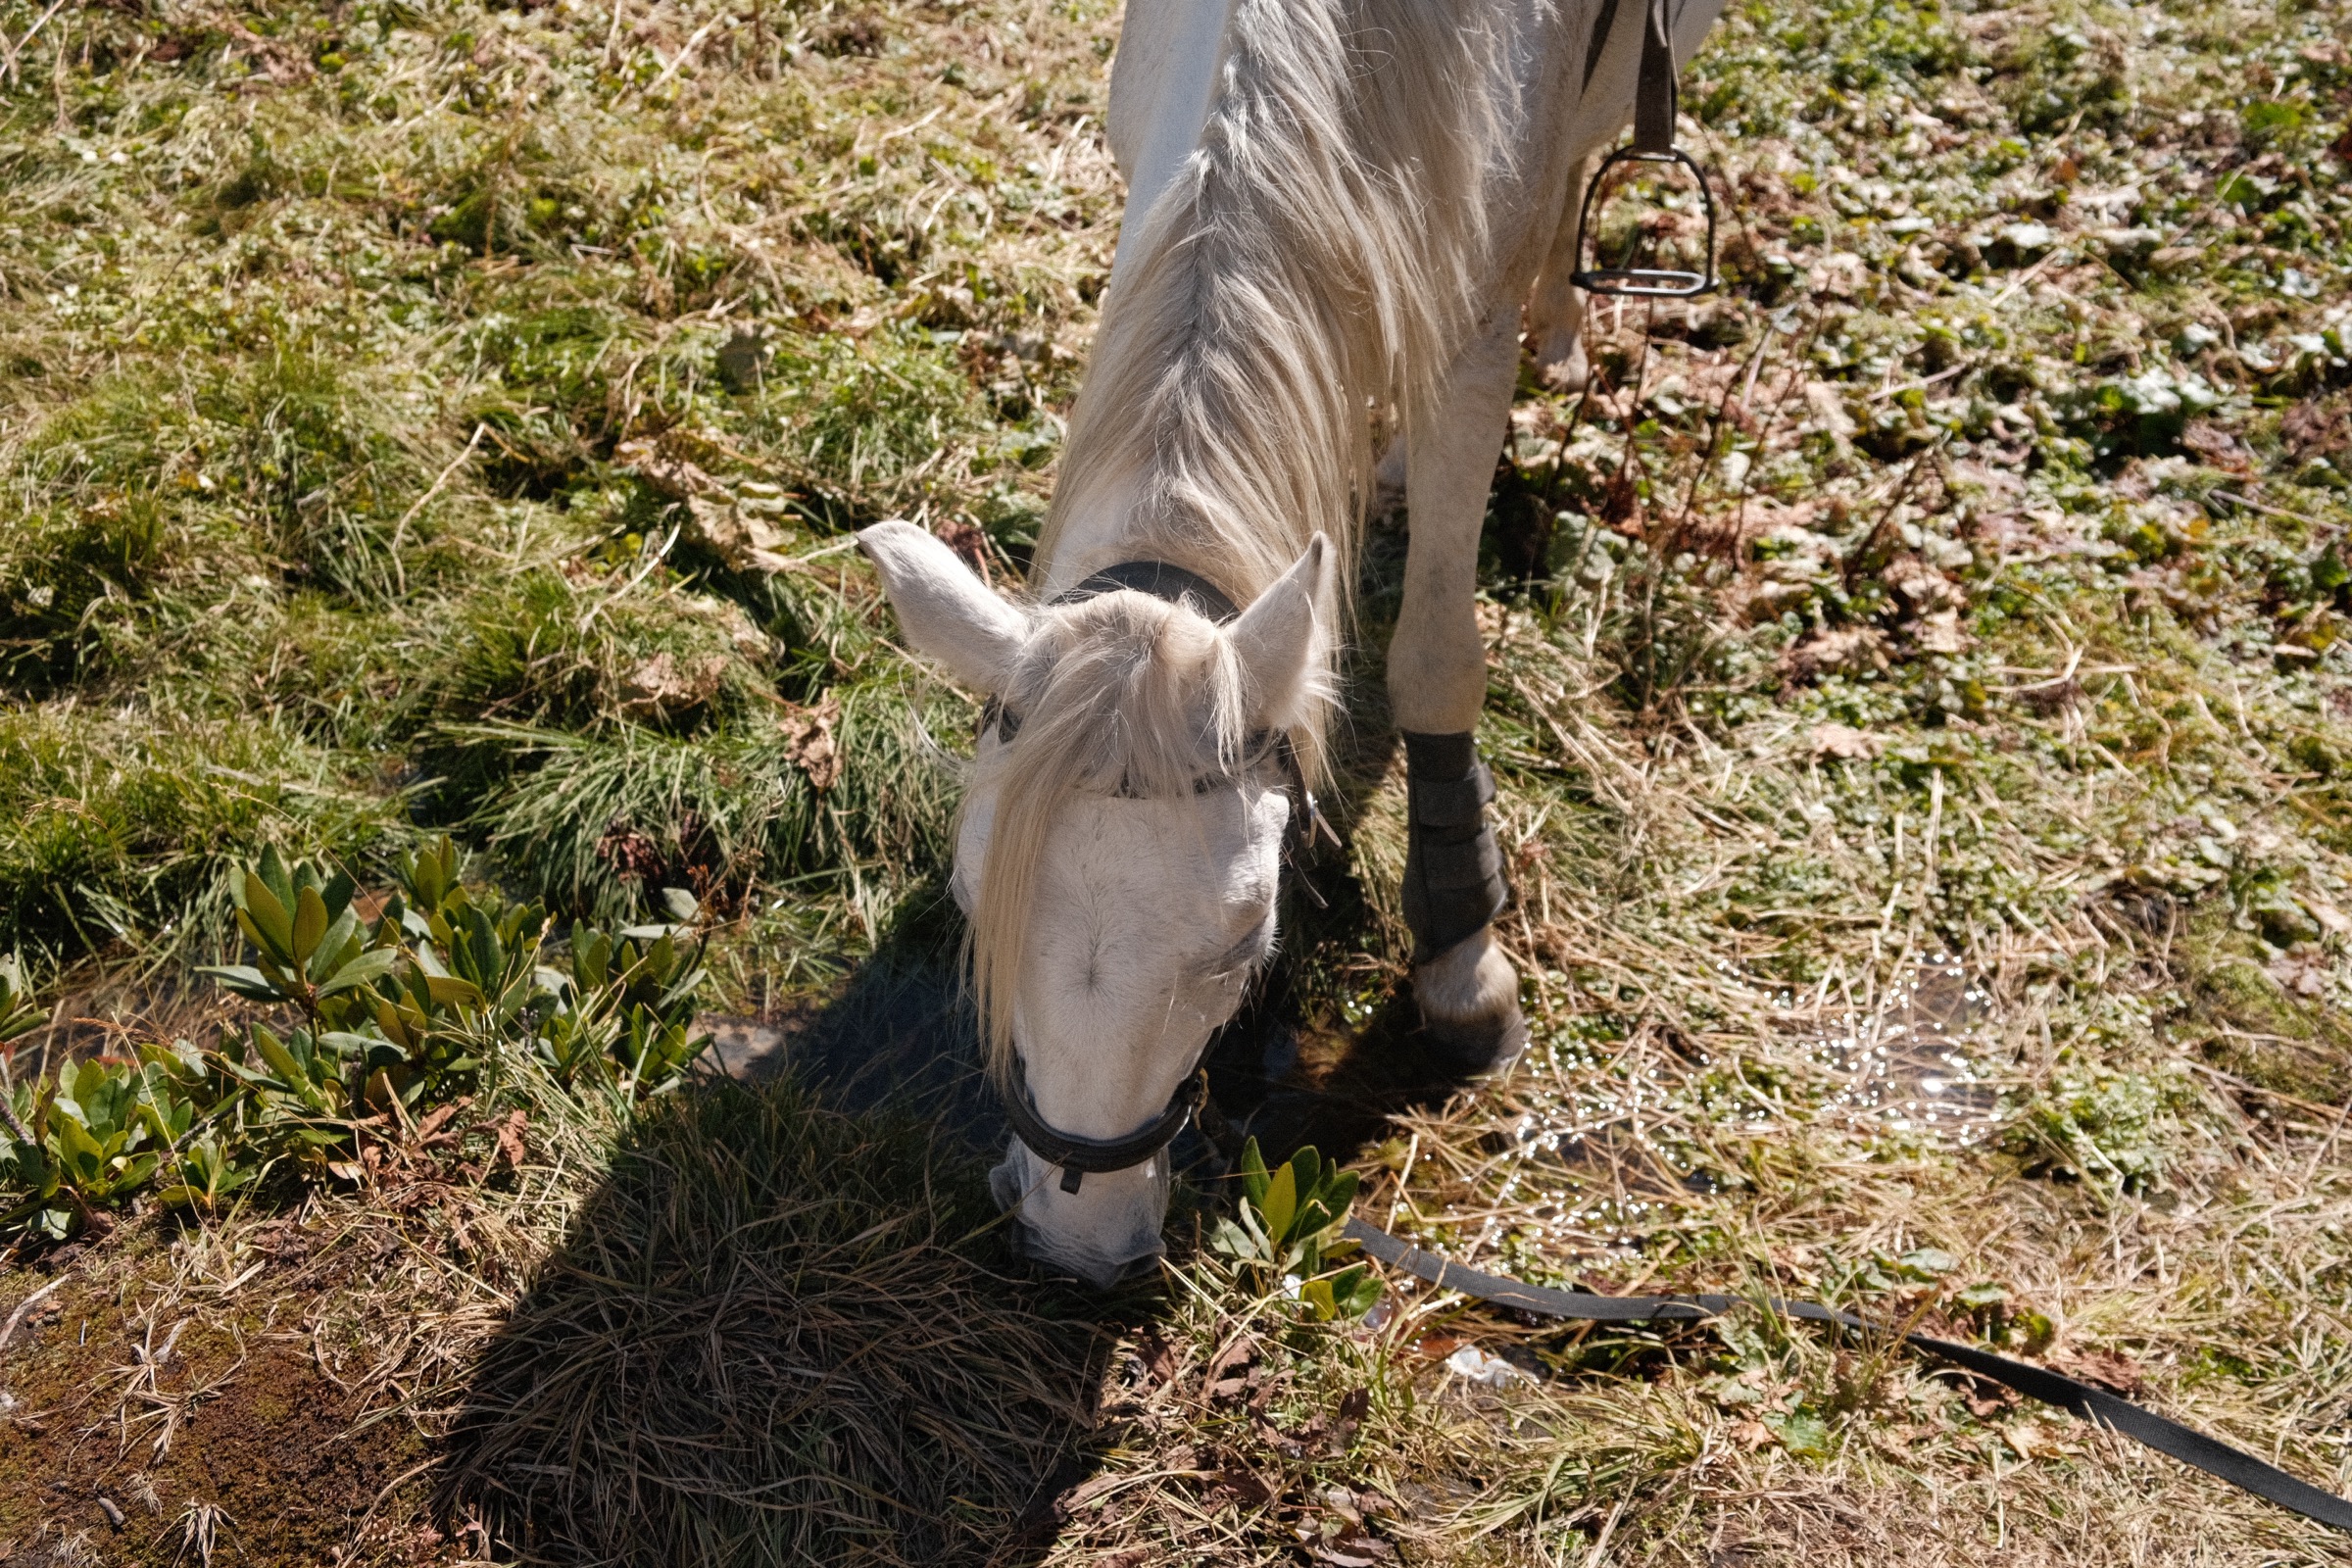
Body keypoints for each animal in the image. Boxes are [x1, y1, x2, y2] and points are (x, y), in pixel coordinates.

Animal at [859, 0, 1723, 1286]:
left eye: (1246, 942)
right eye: (973, 897)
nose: (1079, 1238)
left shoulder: (1470, 337)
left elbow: (1434, 658)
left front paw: (1462, 955)